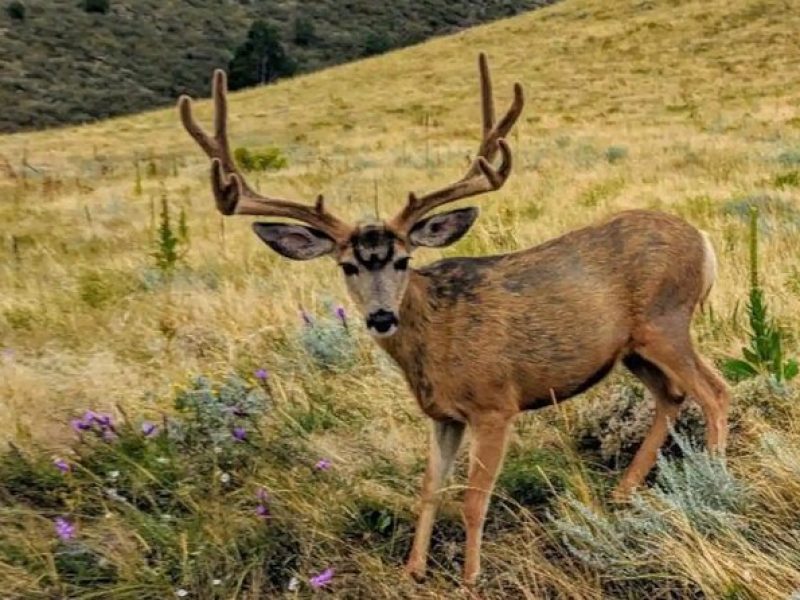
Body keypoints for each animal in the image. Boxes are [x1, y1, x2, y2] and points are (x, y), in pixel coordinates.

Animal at [177, 54, 732, 588]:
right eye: (347, 266)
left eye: (403, 260)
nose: (381, 316)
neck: (435, 342)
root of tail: (704, 241)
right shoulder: (442, 414)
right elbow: (428, 488)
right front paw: (412, 570)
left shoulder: (495, 404)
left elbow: (472, 497)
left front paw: (470, 576)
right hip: (633, 349)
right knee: (672, 397)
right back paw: (622, 493)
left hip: (666, 320)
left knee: (714, 392)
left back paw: (712, 482)